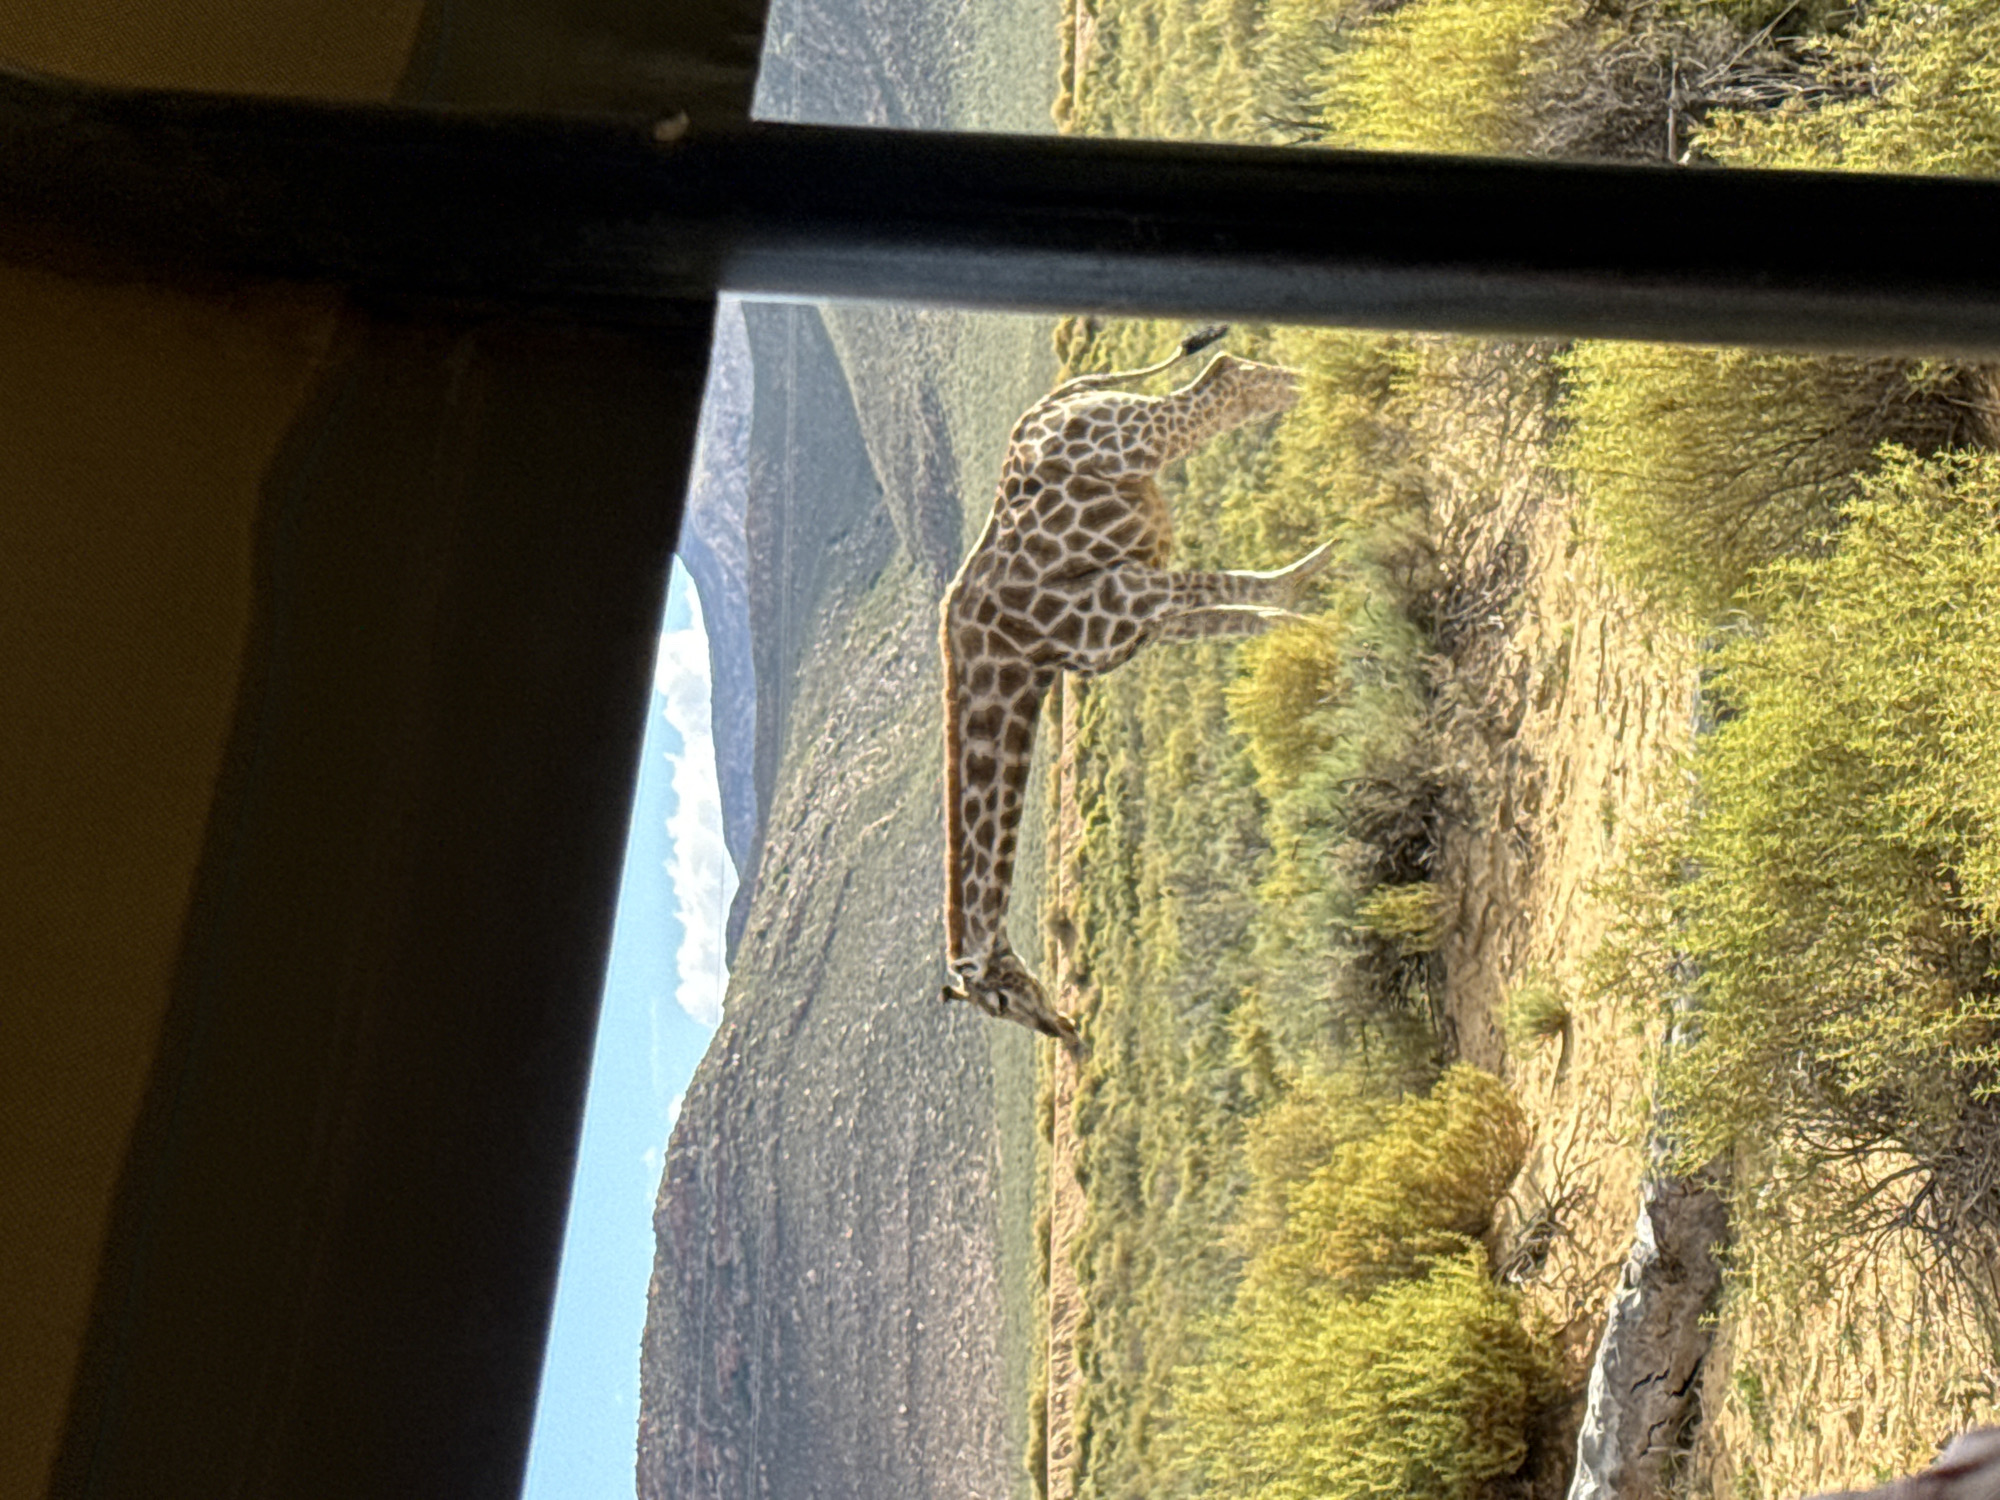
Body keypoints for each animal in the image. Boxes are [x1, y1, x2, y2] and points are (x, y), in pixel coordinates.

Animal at [937, 327, 1333, 1056]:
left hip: (1135, 439)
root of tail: (1058, 399)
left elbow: (1247, 590)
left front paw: (1329, 601)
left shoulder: (1124, 593)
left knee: (1228, 382)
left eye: (1001, 997)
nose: (1064, 1032)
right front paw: (1319, 623)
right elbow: (1249, 611)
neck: (1018, 657)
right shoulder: (1138, 630)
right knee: (1229, 377)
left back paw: (1347, 385)